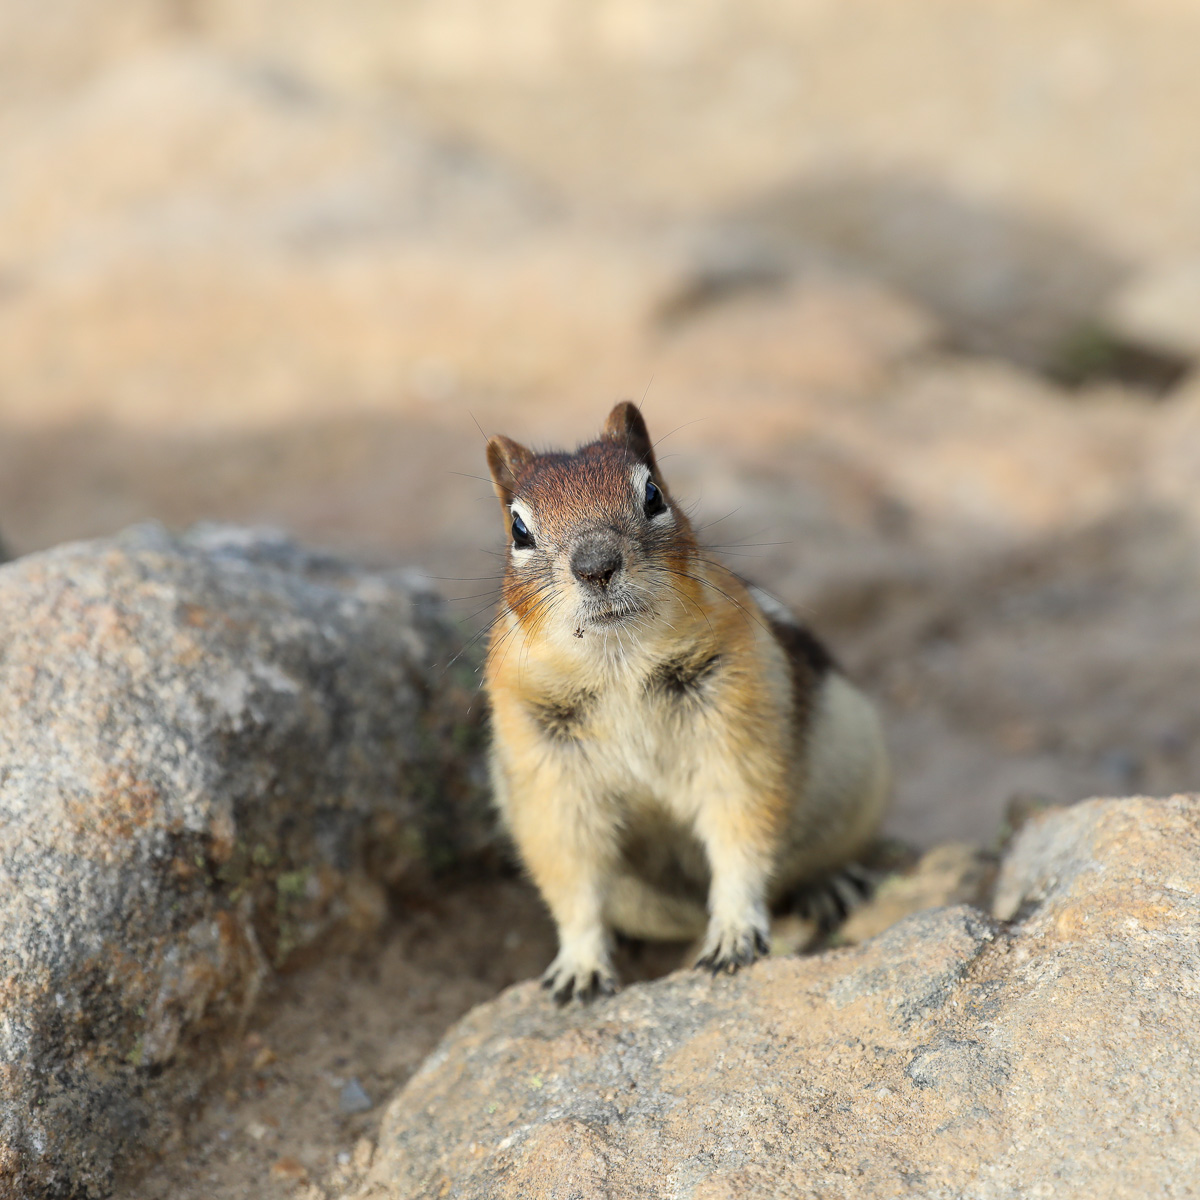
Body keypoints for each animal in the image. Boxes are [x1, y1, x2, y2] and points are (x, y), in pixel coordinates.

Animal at [484, 402, 890, 1003]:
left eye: (653, 496)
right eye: (518, 529)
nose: (596, 566)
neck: (619, 662)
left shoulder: (737, 727)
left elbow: (740, 830)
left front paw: (734, 934)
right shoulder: (548, 774)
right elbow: (572, 874)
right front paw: (580, 967)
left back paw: (830, 884)